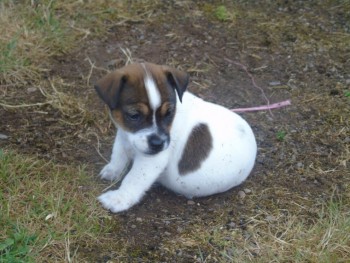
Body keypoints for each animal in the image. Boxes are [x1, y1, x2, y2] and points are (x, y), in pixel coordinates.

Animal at [94, 62, 256, 212]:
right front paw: (113, 170)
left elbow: (134, 179)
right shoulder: (124, 135)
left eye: (168, 113)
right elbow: (118, 155)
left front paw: (119, 199)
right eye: (134, 115)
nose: (158, 143)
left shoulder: (152, 159)